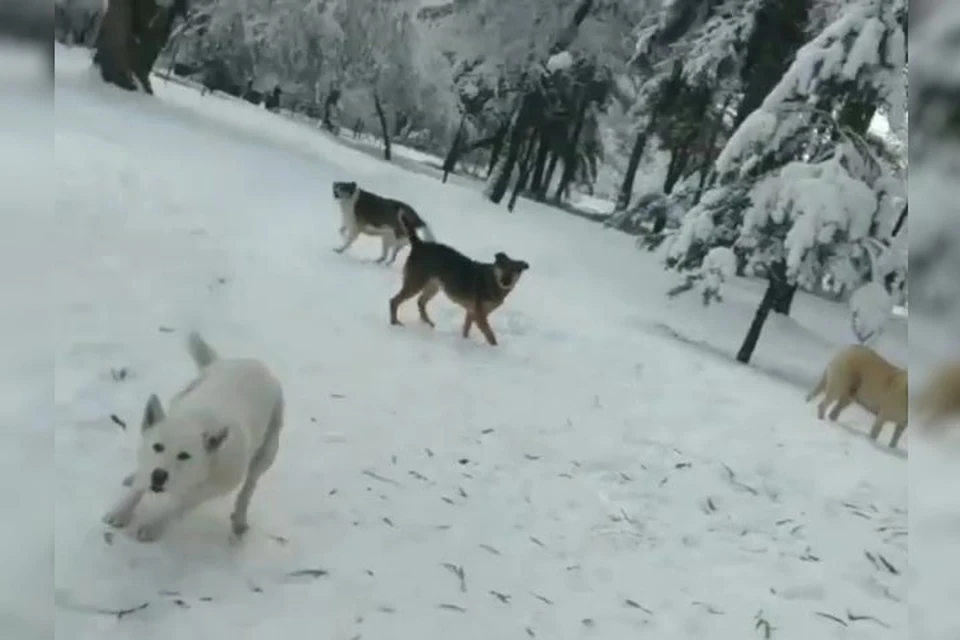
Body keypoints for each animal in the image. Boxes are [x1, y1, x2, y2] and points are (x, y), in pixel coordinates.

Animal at [105, 332, 286, 544]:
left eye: (184, 456)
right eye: (158, 446)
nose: (158, 475)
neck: (196, 420)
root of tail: (253, 363)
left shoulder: (214, 487)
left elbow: (179, 505)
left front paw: (153, 526)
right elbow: (137, 487)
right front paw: (121, 511)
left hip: (267, 450)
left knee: (249, 487)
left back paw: (240, 519)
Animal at [386, 214, 528, 344]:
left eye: (515, 270)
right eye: (502, 266)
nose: (506, 282)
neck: (493, 281)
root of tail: (419, 244)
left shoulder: (472, 313)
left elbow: (466, 329)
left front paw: (464, 343)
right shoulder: (479, 315)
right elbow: (490, 336)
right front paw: (494, 351)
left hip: (433, 286)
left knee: (420, 302)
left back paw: (429, 324)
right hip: (416, 283)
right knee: (394, 301)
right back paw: (395, 323)